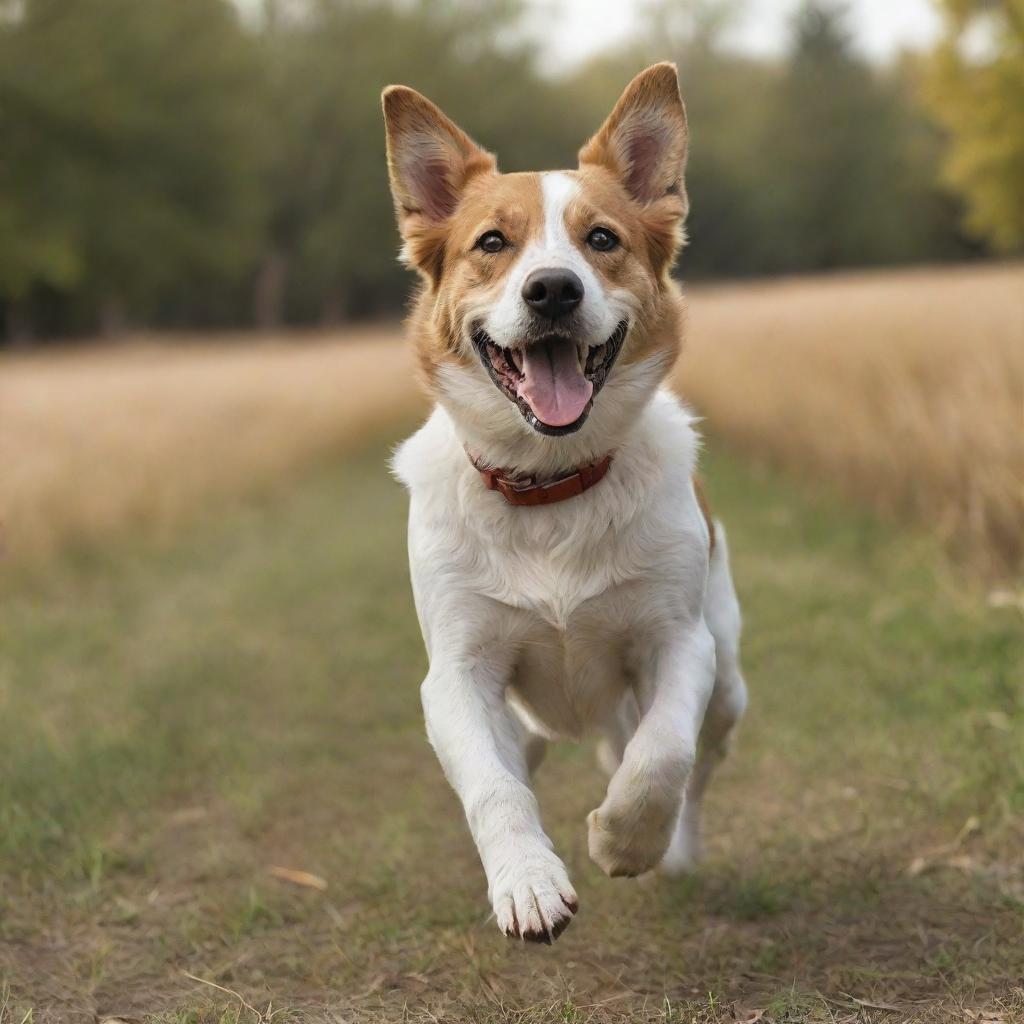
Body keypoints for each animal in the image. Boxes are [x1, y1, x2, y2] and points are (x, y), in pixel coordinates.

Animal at [380, 64, 749, 942]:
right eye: (491, 243)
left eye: (603, 240)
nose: (552, 290)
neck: (549, 485)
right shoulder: (458, 674)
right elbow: (495, 789)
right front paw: (527, 883)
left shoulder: (679, 644)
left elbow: (661, 759)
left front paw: (624, 842)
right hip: (524, 722)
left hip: (728, 685)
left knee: (691, 764)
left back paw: (674, 851)